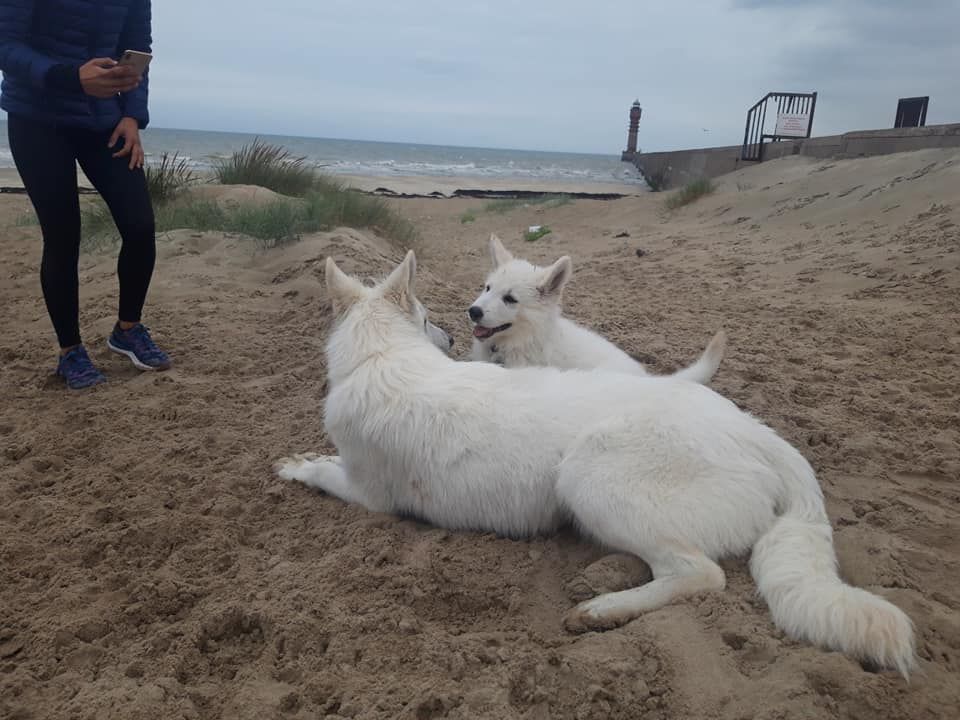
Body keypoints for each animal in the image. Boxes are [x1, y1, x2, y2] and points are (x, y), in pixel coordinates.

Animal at [275, 251, 916, 678]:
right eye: (433, 318)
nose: (457, 333)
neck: (381, 357)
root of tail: (762, 435)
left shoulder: (369, 493)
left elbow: (323, 469)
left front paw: (295, 465)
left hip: (589, 473)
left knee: (700, 575)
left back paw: (601, 609)